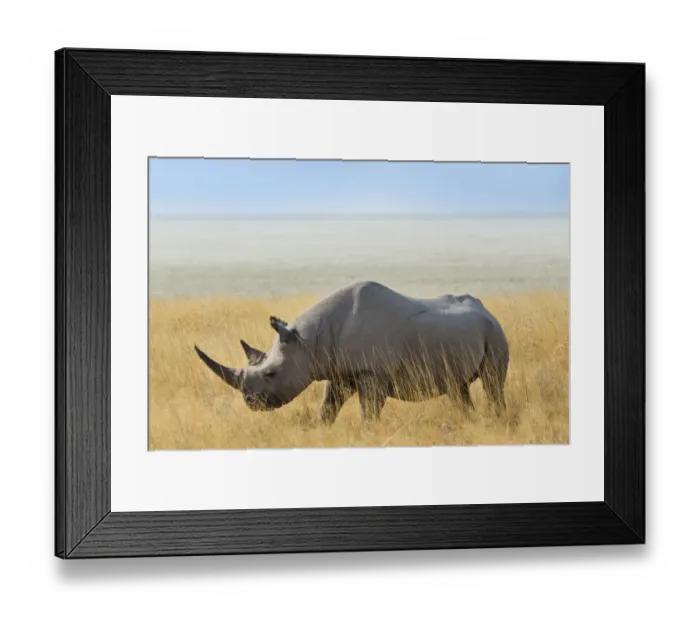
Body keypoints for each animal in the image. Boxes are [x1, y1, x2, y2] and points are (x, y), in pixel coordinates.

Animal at [194, 281, 509, 423]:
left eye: (272, 373)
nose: (251, 403)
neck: (307, 341)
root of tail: (486, 309)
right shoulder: (337, 370)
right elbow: (327, 408)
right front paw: (322, 432)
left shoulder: (373, 373)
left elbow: (368, 411)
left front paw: (368, 433)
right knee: (458, 389)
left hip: (494, 331)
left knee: (493, 383)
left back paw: (497, 419)